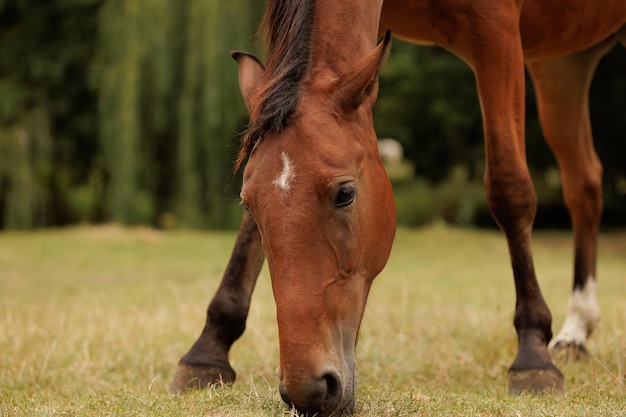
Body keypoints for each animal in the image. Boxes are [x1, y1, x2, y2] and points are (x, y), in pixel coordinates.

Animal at [171, 0, 624, 414]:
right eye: (249, 205)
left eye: (345, 193)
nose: (308, 388)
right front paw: (209, 349)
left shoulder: (497, 30)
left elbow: (510, 189)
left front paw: (532, 355)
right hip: (563, 64)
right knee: (584, 183)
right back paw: (577, 331)